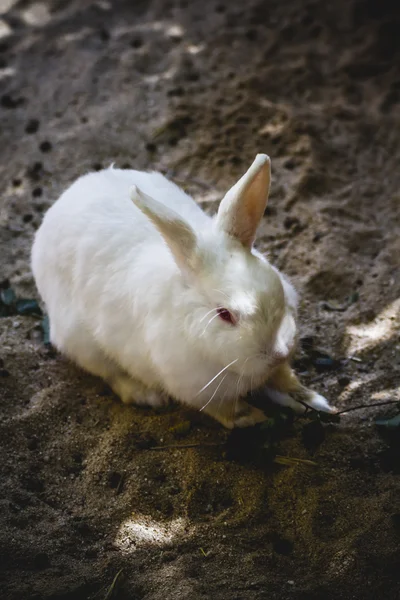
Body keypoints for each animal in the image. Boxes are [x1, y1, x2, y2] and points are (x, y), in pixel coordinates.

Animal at [32, 155, 336, 426]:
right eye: (224, 314)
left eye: (276, 290)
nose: (277, 354)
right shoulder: (195, 388)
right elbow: (226, 410)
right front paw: (252, 417)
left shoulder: (275, 370)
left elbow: (285, 382)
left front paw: (318, 403)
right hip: (83, 344)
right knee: (112, 375)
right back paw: (146, 395)